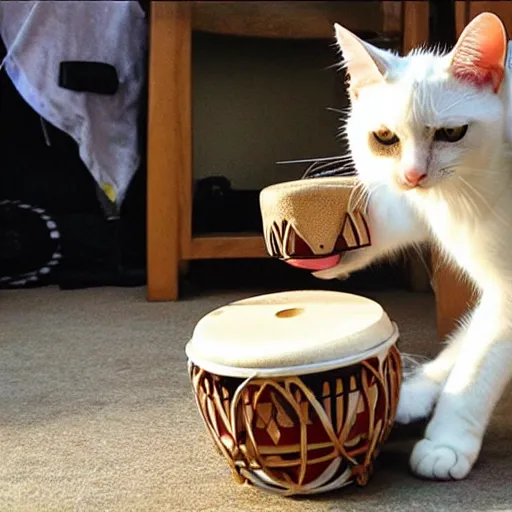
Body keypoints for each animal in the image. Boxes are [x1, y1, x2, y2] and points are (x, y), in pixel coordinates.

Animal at [316, 14, 512, 482]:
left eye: (452, 133)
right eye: (384, 137)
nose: (412, 175)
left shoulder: (509, 294)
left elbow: (478, 368)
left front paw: (448, 443)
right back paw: (416, 393)